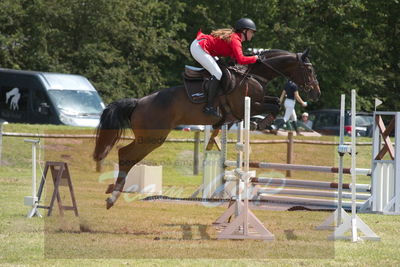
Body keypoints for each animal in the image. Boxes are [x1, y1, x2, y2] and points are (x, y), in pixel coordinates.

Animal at [92, 49, 320, 210]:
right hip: (152, 138)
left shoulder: (257, 102)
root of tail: (138, 102)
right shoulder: (246, 106)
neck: (255, 75)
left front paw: (263, 123)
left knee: (126, 155)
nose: (316, 93)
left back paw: (112, 193)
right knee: (126, 155)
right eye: (309, 70)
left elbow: (274, 102)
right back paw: (113, 197)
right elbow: (274, 106)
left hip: (150, 138)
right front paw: (260, 124)